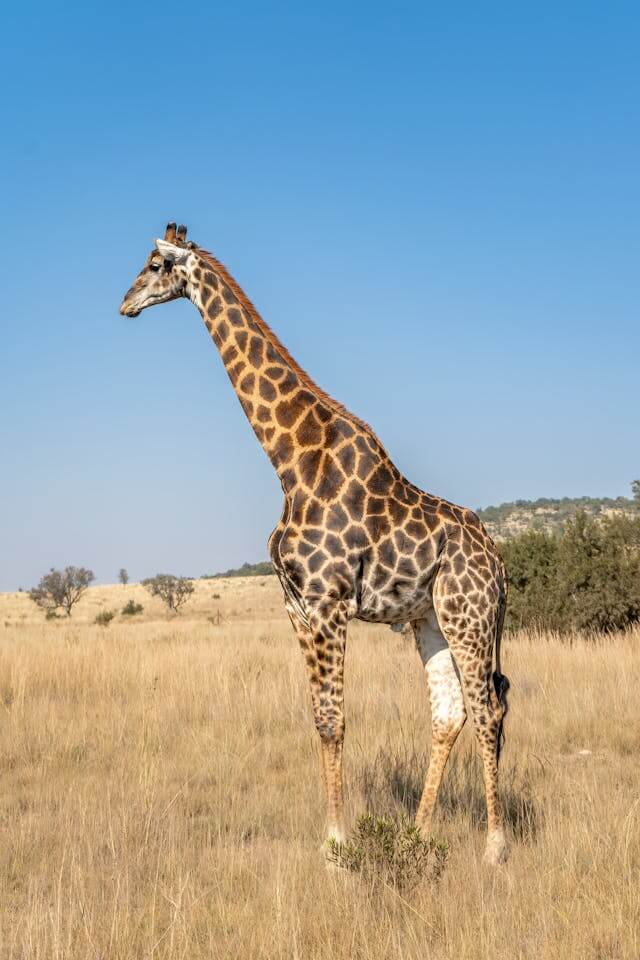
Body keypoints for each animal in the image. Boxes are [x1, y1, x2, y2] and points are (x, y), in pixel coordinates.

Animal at [120, 223, 511, 866]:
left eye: (154, 265)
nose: (124, 303)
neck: (290, 462)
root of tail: (501, 565)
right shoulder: (296, 604)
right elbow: (319, 719)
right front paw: (333, 837)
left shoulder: (329, 600)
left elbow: (336, 719)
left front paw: (336, 843)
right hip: (428, 618)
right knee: (450, 711)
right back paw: (419, 833)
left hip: (468, 614)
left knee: (487, 707)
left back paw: (495, 846)